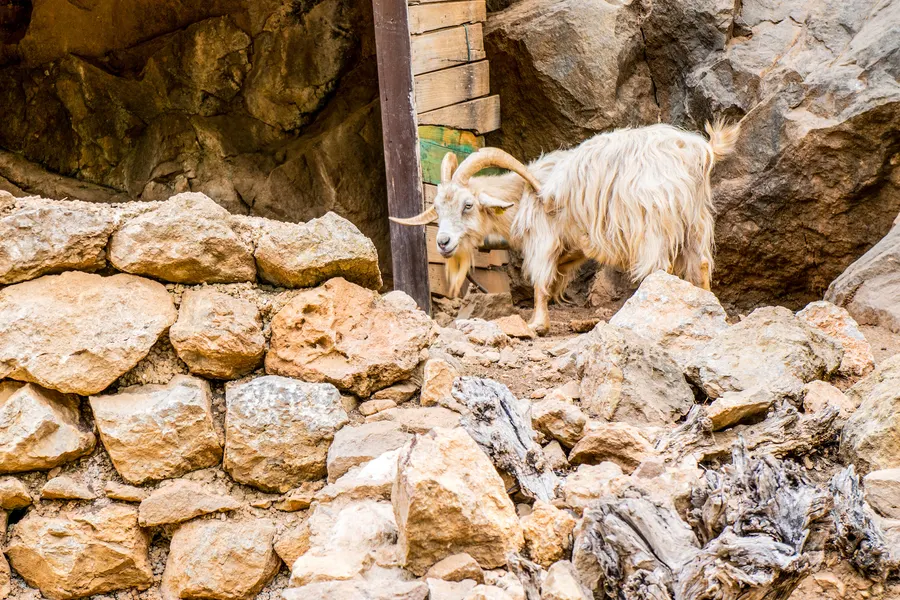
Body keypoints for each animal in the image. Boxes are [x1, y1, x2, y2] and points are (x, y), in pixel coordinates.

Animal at [392, 121, 740, 335]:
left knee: (658, 269)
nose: (443, 242)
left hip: (653, 223)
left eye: (467, 205)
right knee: (701, 265)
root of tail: (697, 152)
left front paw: (537, 324)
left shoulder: (542, 238)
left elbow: (540, 281)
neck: (522, 194)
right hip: (696, 221)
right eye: (438, 208)